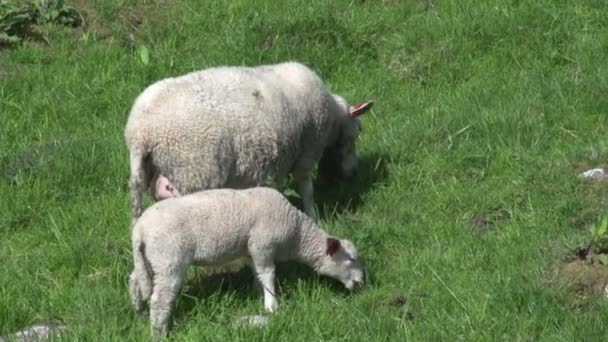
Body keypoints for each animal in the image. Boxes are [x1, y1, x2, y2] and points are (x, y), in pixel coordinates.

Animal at [124, 60, 372, 222]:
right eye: (357, 131)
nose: (353, 173)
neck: (333, 120)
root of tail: (140, 133)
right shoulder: (307, 152)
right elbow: (307, 190)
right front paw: (313, 216)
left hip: (151, 174)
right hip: (192, 173)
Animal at [127, 187, 364, 336]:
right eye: (351, 259)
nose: (362, 284)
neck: (296, 233)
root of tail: (140, 229)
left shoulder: (252, 248)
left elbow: (257, 273)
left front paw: (259, 294)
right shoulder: (262, 244)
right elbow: (268, 273)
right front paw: (272, 306)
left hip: (151, 260)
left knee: (135, 280)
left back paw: (139, 311)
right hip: (169, 259)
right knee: (160, 300)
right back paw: (159, 332)